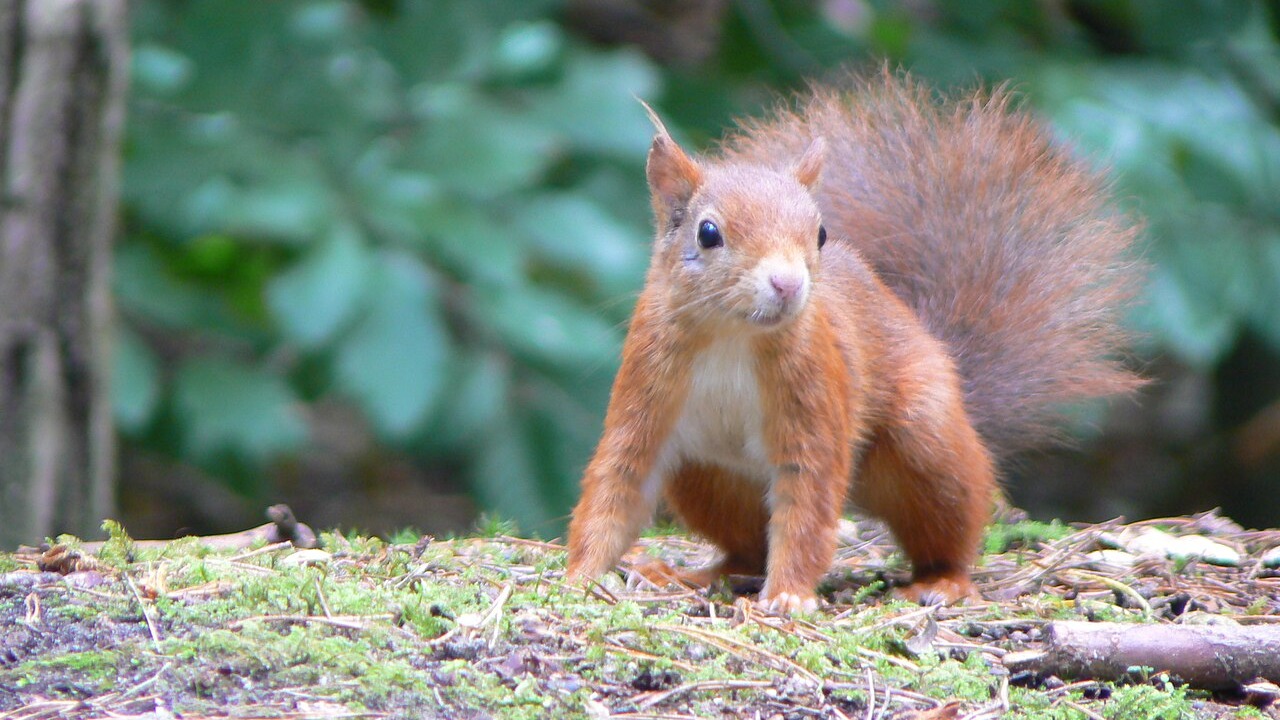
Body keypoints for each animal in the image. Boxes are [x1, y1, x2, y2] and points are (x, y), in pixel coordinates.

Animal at [564, 71, 1142, 613]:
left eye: (820, 234)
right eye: (708, 234)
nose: (788, 283)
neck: (734, 336)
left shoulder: (815, 397)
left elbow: (808, 502)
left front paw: (790, 596)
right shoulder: (645, 391)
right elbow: (617, 485)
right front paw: (581, 577)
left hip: (925, 443)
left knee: (952, 525)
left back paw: (943, 581)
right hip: (705, 479)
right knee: (747, 550)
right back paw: (692, 574)